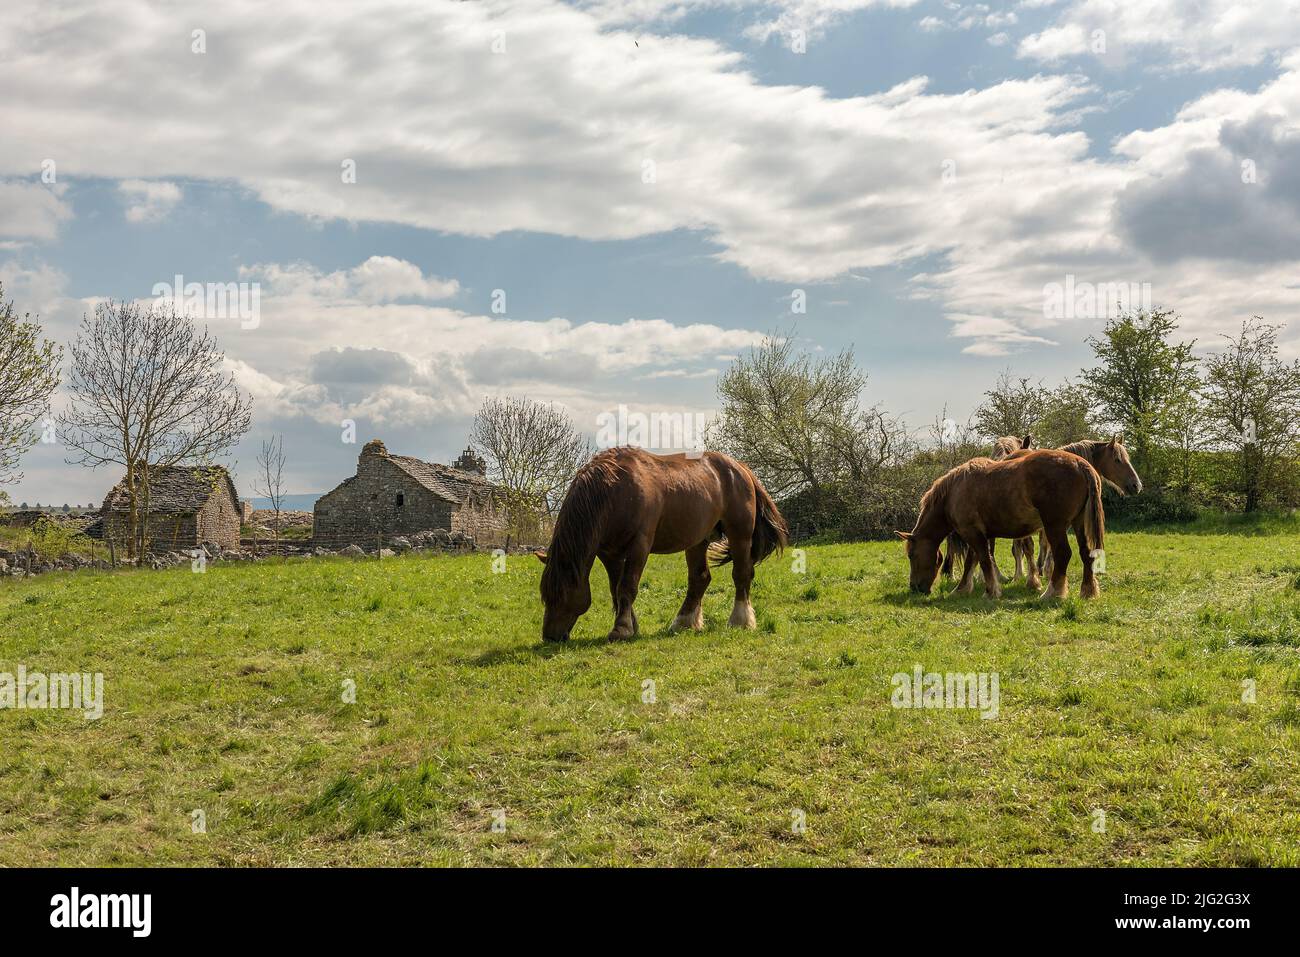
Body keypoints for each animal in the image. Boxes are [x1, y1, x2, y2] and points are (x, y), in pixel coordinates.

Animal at [535, 447, 785, 642]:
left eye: (562, 593)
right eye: (545, 595)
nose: (550, 636)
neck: (614, 490)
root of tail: (741, 468)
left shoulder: (639, 546)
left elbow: (627, 586)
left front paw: (621, 629)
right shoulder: (609, 553)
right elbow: (616, 589)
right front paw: (630, 624)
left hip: (739, 535)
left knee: (741, 575)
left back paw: (740, 621)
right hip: (697, 540)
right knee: (699, 579)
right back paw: (683, 622)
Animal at [904, 447, 1107, 598]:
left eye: (911, 555)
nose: (914, 587)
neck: (953, 493)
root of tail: (1081, 464)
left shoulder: (973, 533)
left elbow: (984, 560)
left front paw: (990, 592)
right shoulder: (979, 535)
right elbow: (972, 561)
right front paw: (961, 589)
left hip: (1054, 526)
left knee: (1063, 554)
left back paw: (1051, 593)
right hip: (1078, 524)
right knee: (1086, 553)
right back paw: (1087, 591)